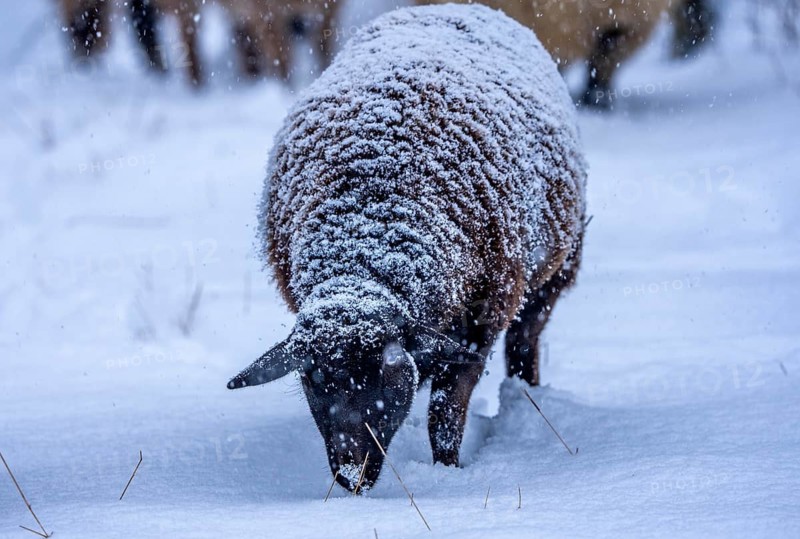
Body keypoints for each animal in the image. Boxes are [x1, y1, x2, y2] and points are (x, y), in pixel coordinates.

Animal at [227, 4, 587, 491]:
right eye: (312, 379)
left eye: (387, 375)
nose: (350, 475)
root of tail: (455, 8)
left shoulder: (482, 318)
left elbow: (446, 412)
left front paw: (447, 472)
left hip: (557, 270)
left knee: (525, 340)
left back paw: (525, 396)